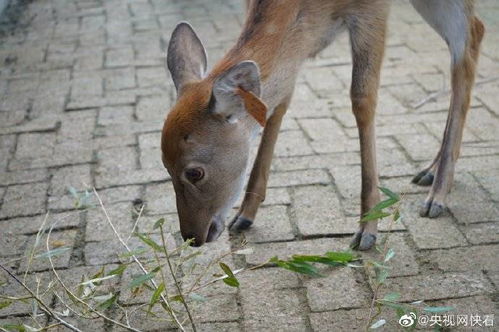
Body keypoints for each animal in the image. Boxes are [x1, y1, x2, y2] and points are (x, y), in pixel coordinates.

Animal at [162, 0, 486, 249]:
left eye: (195, 172)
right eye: (164, 165)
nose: (192, 236)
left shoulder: (373, 9)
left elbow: (362, 99)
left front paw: (367, 230)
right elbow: (279, 103)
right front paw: (245, 215)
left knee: (469, 37)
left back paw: (437, 196)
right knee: (475, 31)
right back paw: (430, 172)